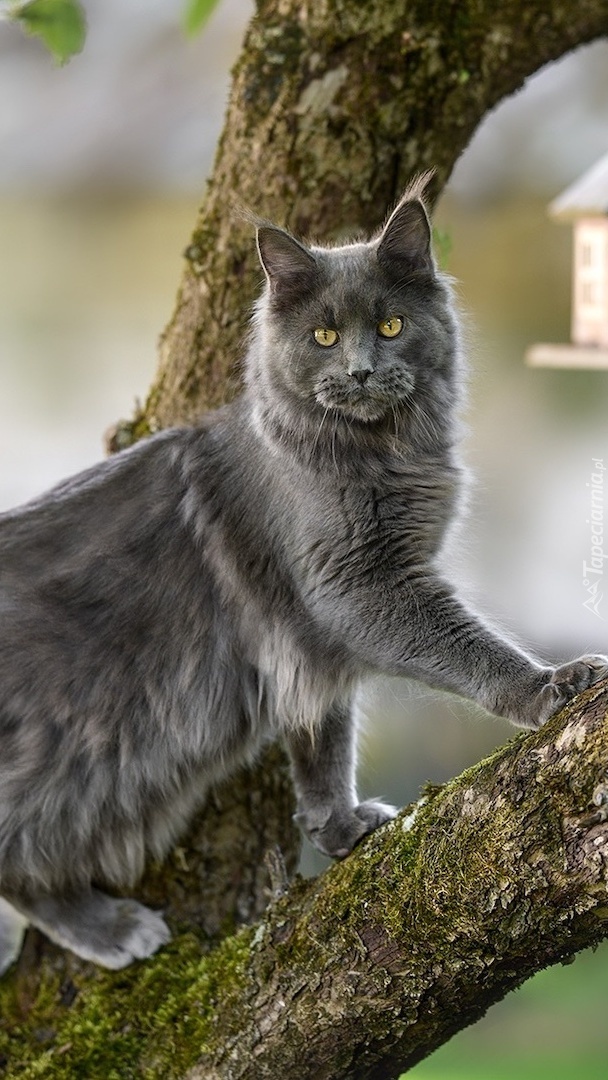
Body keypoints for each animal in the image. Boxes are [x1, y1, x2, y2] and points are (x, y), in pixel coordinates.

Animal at [1, 181, 608, 976]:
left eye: (390, 325)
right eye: (323, 337)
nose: (360, 370)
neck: (378, 455)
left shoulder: (310, 638)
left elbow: (325, 741)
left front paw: (339, 827)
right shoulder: (355, 590)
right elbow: (465, 649)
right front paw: (549, 686)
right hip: (73, 756)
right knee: (21, 862)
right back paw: (110, 928)